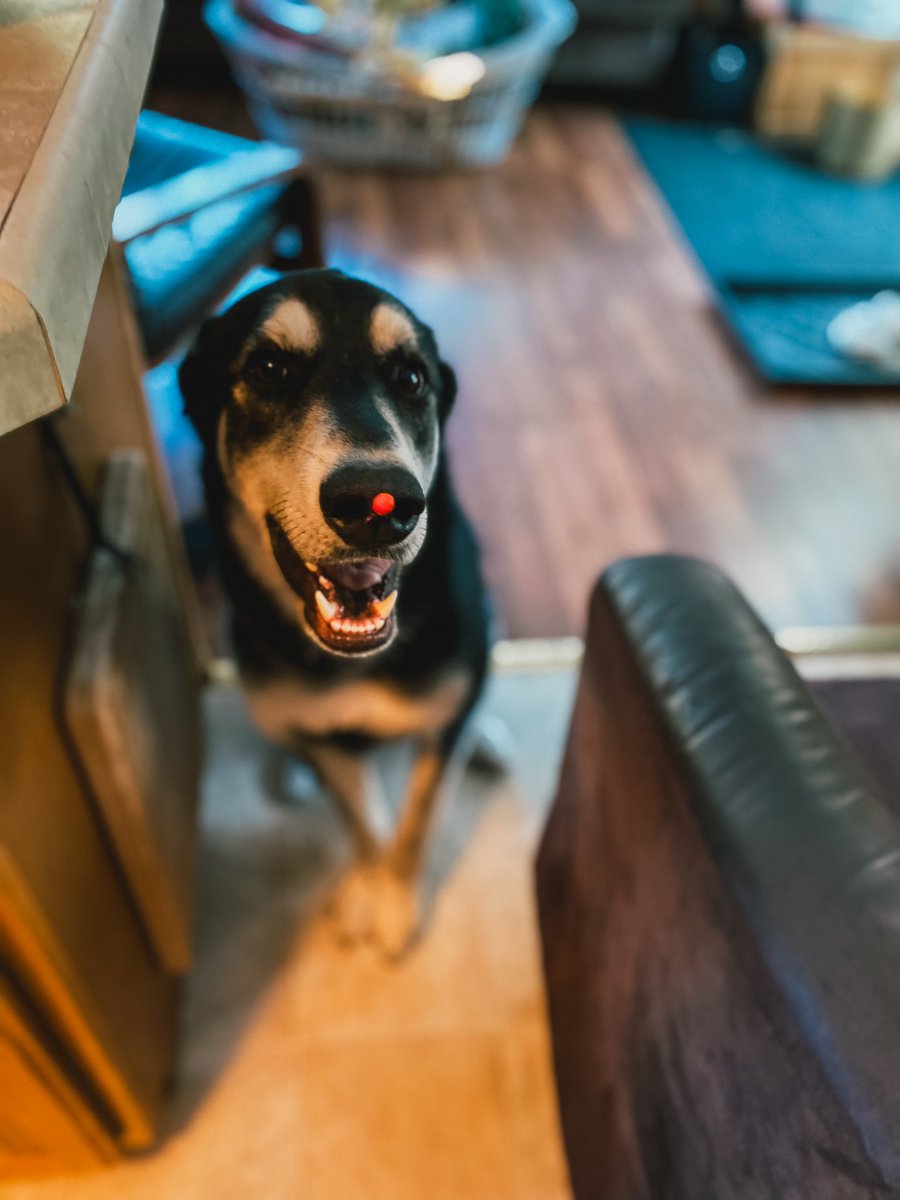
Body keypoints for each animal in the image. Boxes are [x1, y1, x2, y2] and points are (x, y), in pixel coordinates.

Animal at [182, 270, 489, 955]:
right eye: (269, 368)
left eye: (411, 378)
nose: (379, 504)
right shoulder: (324, 736)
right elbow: (361, 821)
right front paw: (370, 891)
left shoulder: (447, 710)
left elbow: (418, 818)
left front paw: (395, 903)